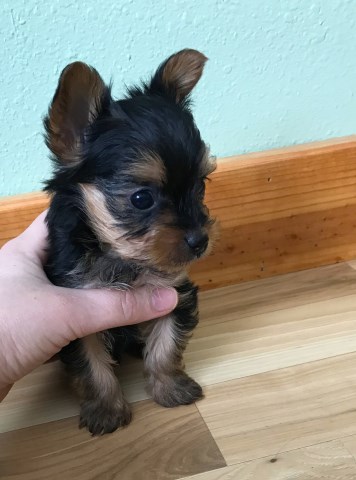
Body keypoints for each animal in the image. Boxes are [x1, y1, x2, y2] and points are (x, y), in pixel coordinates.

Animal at [43, 48, 217, 436]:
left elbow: (166, 345)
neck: (123, 260)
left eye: (200, 186)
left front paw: (171, 388)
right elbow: (91, 363)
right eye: (141, 199)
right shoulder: (76, 309)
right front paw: (105, 410)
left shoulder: (174, 291)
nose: (200, 240)